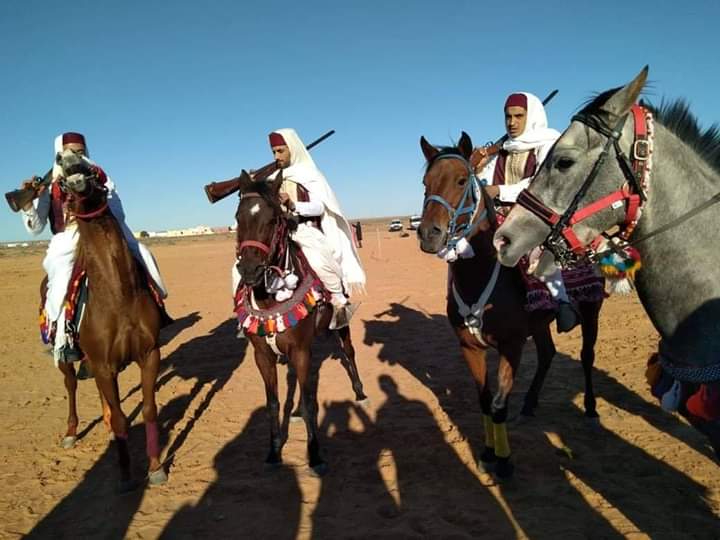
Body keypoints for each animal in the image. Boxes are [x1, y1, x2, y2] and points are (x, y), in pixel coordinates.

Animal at [58, 150, 168, 490]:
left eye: (88, 161)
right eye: (58, 168)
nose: (69, 160)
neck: (118, 296)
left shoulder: (149, 353)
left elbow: (149, 409)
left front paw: (156, 468)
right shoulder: (104, 364)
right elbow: (121, 419)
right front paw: (125, 477)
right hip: (66, 357)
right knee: (71, 385)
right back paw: (71, 433)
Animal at [233, 169, 367, 476]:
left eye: (273, 219)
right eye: (238, 218)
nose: (249, 270)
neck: (270, 299)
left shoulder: (302, 350)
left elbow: (309, 402)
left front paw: (315, 455)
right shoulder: (263, 355)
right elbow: (272, 402)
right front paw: (274, 451)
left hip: (340, 326)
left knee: (349, 352)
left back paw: (359, 391)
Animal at [418, 133, 604, 478]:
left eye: (461, 180)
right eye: (426, 182)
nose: (429, 234)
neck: (480, 277)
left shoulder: (511, 346)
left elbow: (499, 405)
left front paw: (504, 462)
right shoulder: (470, 347)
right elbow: (483, 400)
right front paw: (487, 453)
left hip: (591, 310)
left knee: (587, 356)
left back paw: (591, 409)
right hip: (541, 323)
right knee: (547, 354)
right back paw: (529, 405)